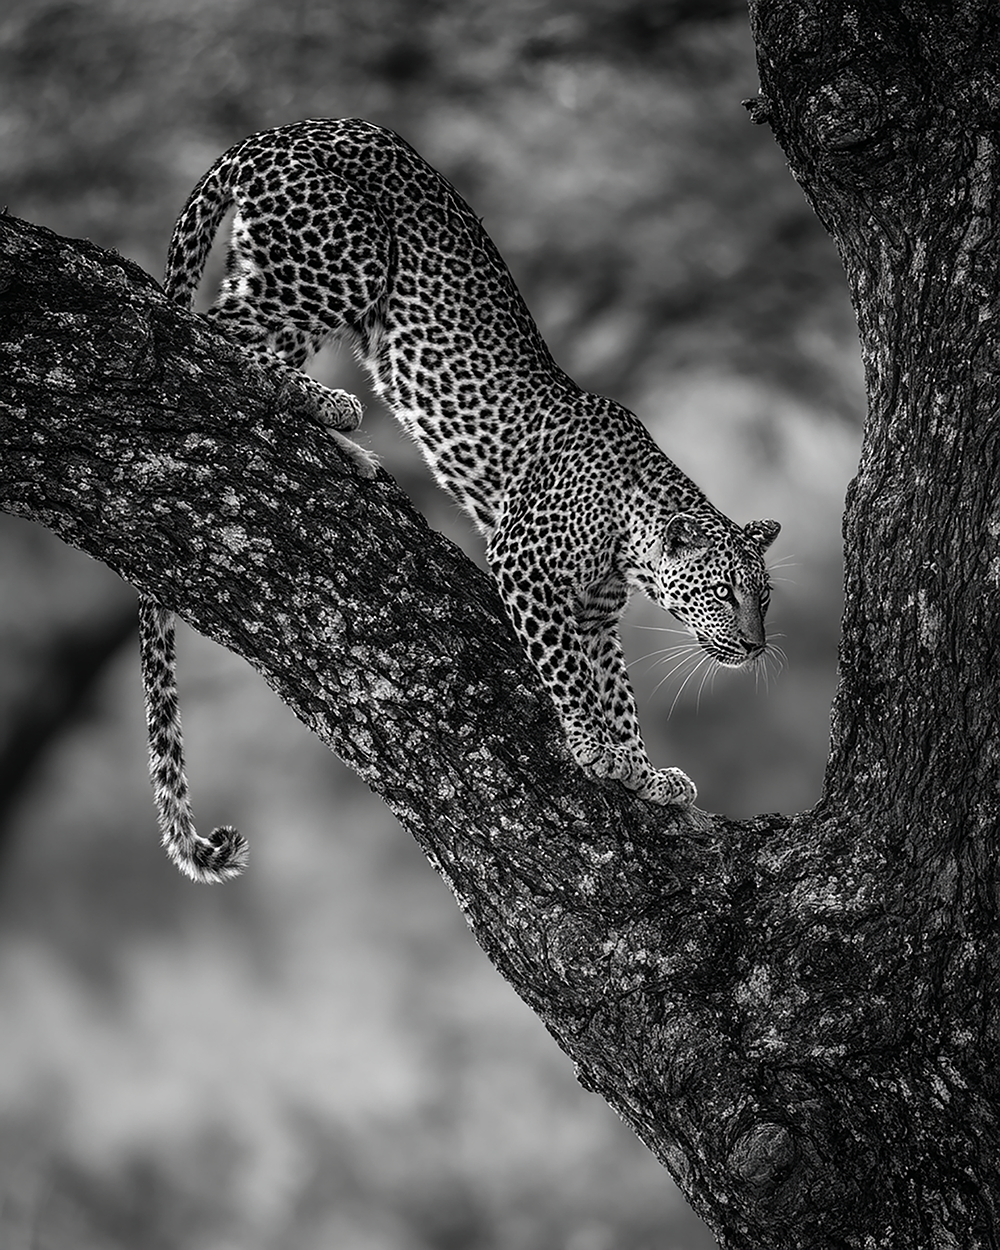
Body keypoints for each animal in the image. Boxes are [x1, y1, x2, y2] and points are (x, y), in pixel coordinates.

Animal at [141, 117, 780, 883]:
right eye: (723, 593)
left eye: (763, 598)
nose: (756, 646)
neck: (631, 535)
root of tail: (282, 130)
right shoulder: (527, 567)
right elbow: (570, 673)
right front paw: (595, 748)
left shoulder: (596, 612)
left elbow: (616, 687)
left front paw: (643, 770)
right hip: (340, 262)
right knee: (211, 329)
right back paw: (331, 405)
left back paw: (338, 435)